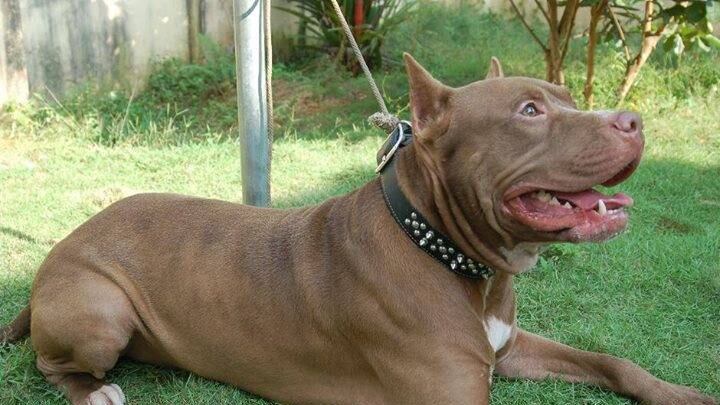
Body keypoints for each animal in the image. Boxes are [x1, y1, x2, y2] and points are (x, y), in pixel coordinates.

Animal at [1, 54, 716, 405]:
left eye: (566, 97)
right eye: (529, 110)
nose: (633, 120)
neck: (442, 247)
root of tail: (57, 252)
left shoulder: (508, 349)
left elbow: (612, 360)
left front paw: (681, 394)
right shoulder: (455, 395)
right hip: (100, 312)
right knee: (50, 361)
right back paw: (96, 392)